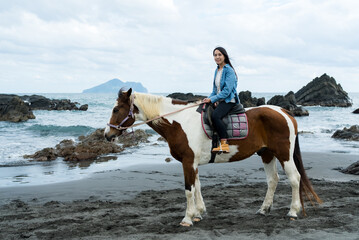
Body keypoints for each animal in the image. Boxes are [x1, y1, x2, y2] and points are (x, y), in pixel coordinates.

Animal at [105, 88, 322, 227]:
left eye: (116, 109)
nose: (107, 135)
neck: (179, 122)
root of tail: (284, 111)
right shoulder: (193, 163)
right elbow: (197, 187)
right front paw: (199, 213)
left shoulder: (187, 162)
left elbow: (189, 190)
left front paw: (187, 218)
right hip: (267, 154)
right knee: (273, 180)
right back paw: (263, 209)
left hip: (284, 154)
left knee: (294, 179)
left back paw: (293, 211)